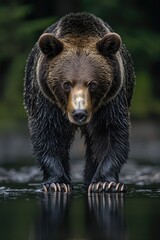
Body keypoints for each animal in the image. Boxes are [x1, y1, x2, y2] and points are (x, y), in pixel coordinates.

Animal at [23, 12, 135, 193]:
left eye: (92, 83)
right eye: (66, 83)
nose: (79, 113)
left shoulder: (111, 101)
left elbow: (110, 133)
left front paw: (104, 183)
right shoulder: (47, 100)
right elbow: (48, 133)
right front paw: (57, 183)